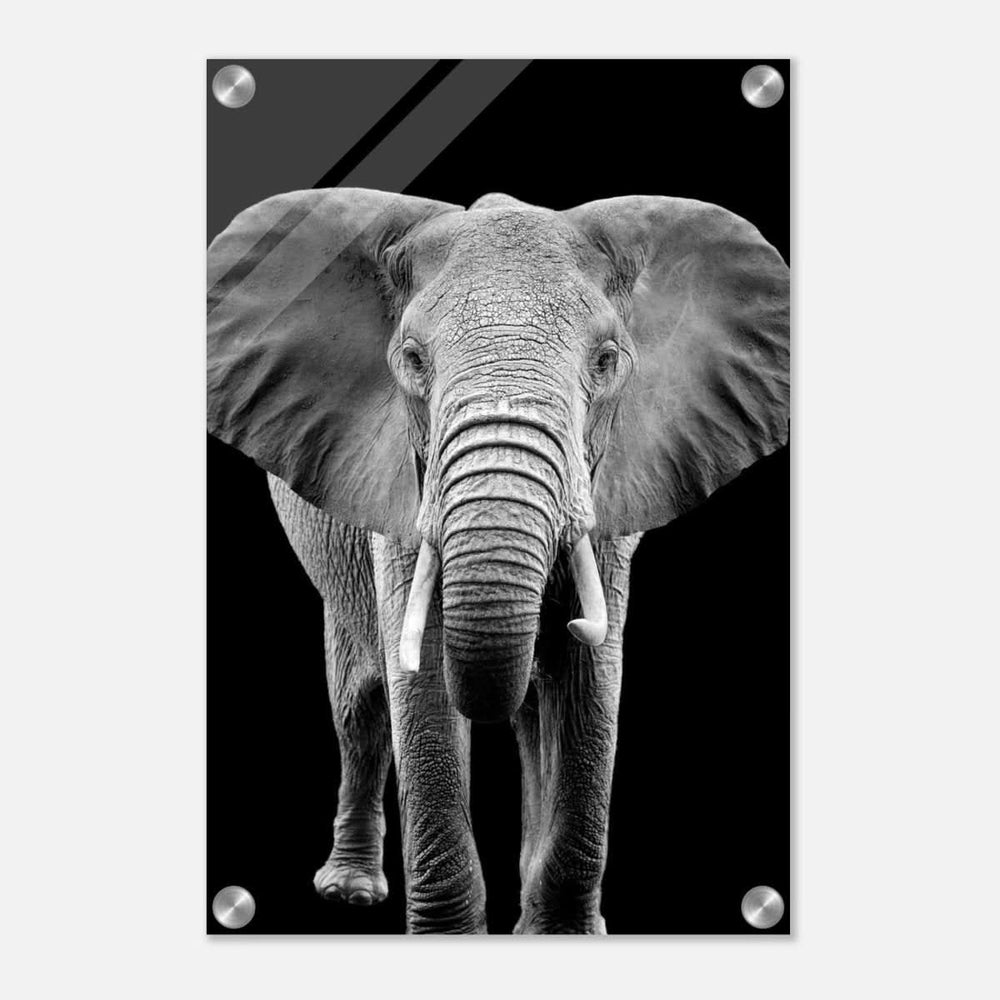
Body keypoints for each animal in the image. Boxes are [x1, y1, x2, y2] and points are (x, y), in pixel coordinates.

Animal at [207, 188, 789, 934]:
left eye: (606, 361)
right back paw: (350, 891)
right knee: (360, 704)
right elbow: (421, 686)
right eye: (412, 360)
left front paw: (564, 933)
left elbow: (589, 686)